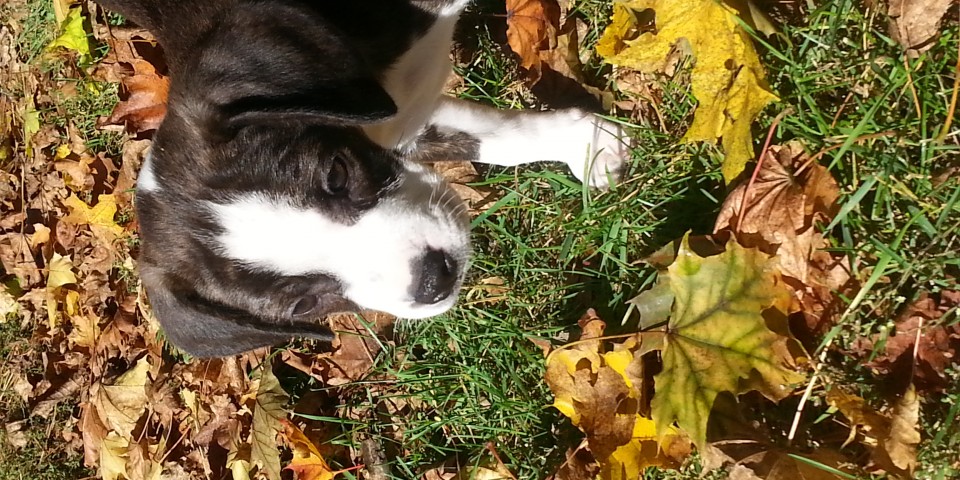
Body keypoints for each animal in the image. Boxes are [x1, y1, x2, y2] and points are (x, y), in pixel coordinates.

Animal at [96, 0, 629, 357]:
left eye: (336, 173)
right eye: (304, 304)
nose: (433, 281)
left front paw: (588, 143)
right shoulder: (398, 122)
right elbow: (484, 135)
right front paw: (584, 143)